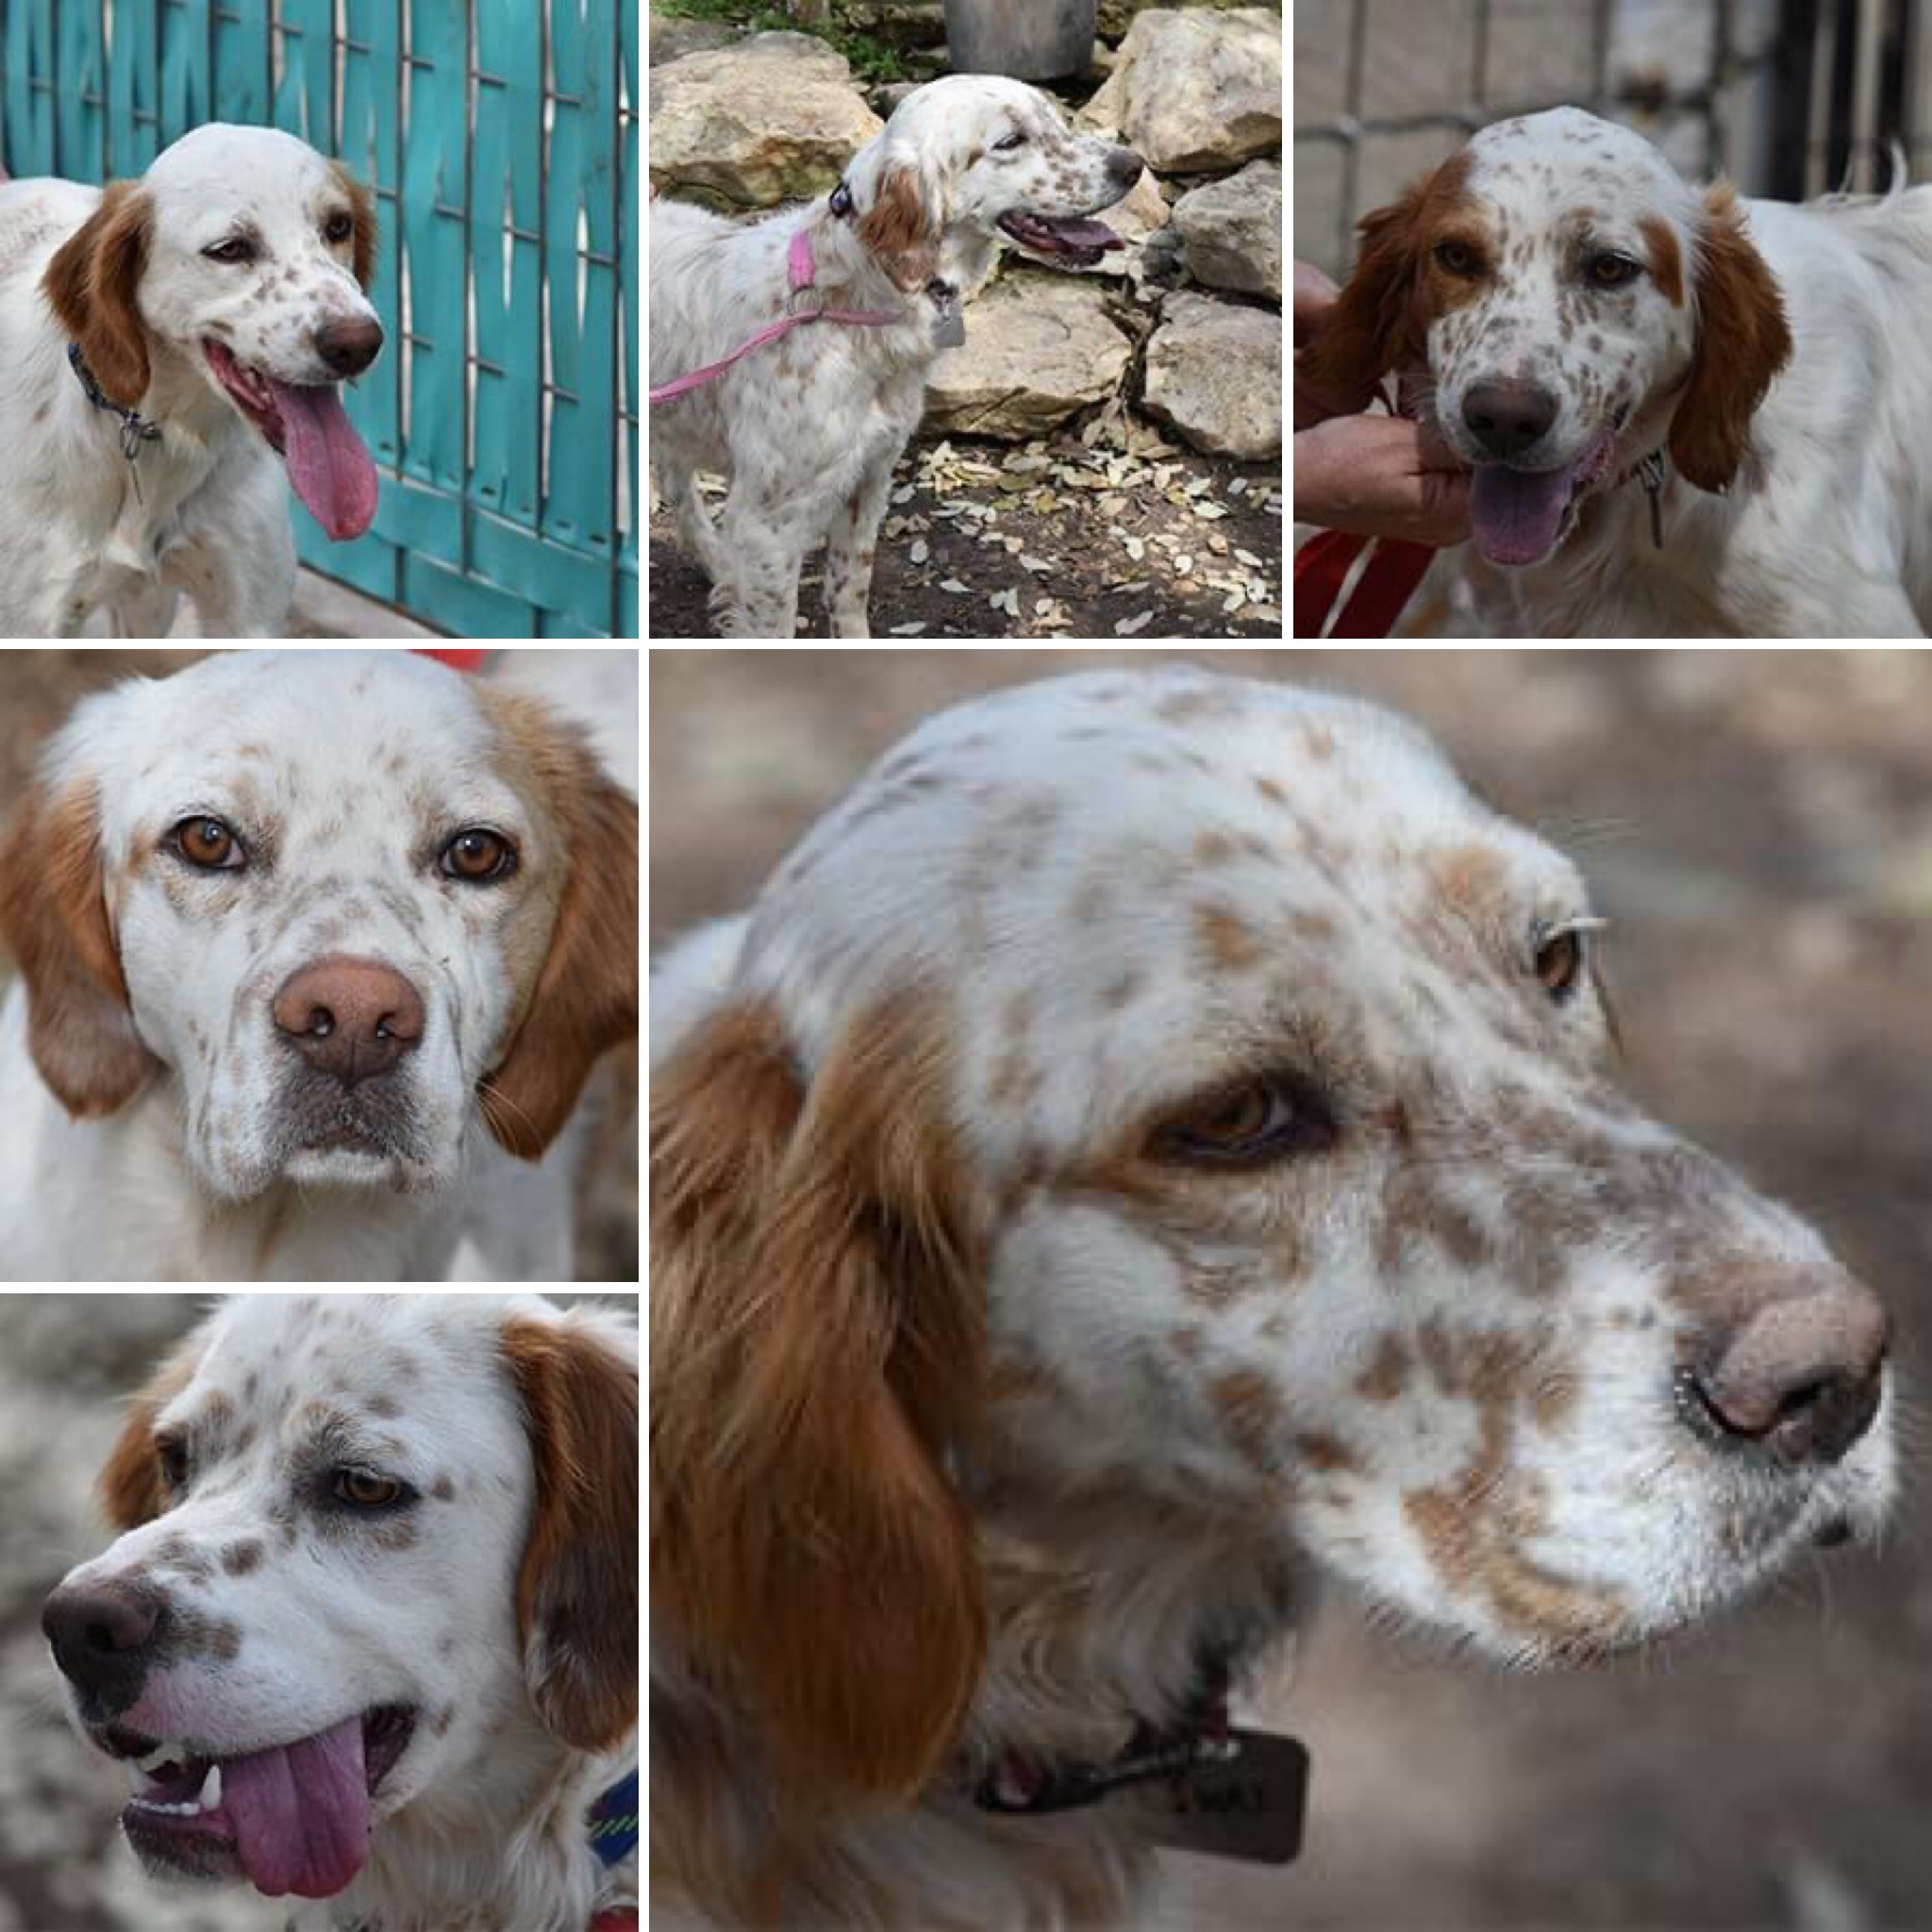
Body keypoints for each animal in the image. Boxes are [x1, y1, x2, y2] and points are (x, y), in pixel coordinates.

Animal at [0, 125, 382, 637]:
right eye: (230, 249)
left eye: (338, 225)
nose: (359, 343)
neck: (158, 434)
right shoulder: (31, 625)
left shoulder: (246, 613)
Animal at [649, 75, 1136, 637]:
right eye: (1010, 141)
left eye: (1058, 121)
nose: (1134, 164)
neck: (850, 296)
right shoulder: (769, 524)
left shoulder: (868, 480)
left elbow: (849, 593)